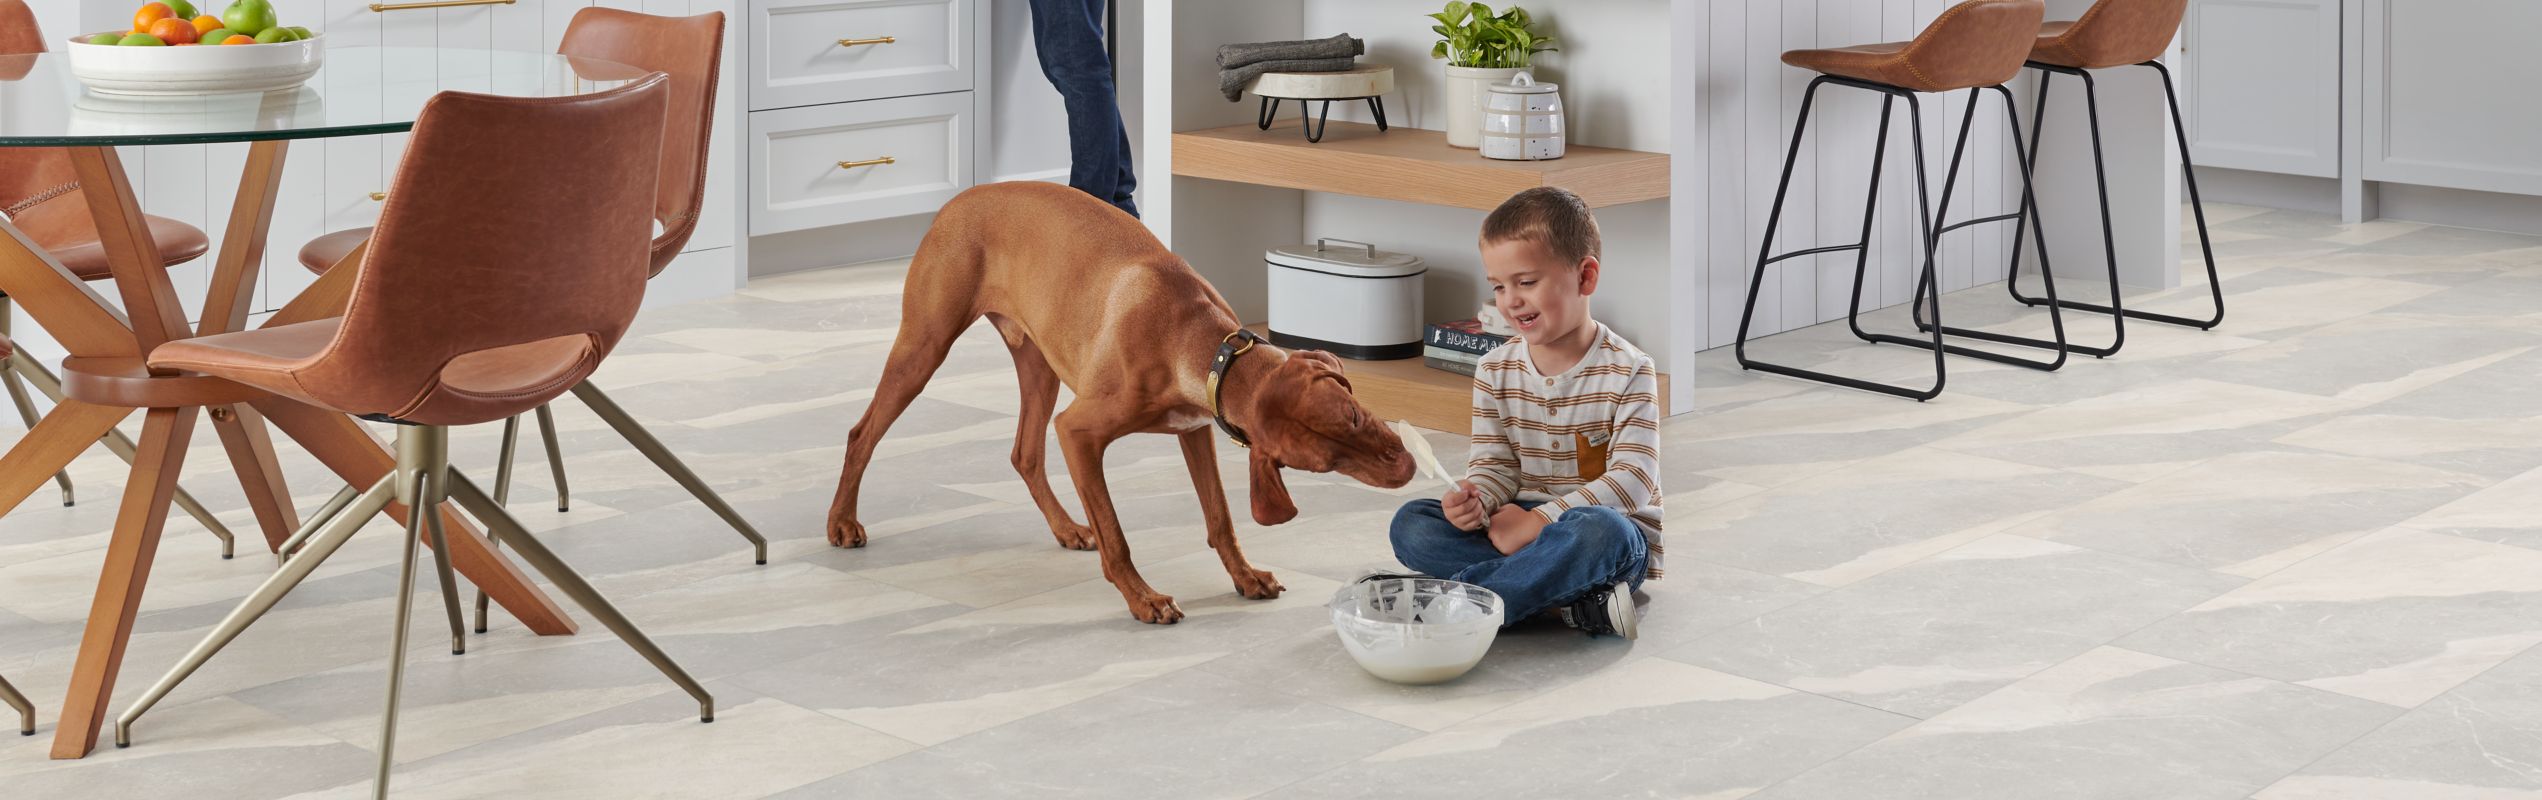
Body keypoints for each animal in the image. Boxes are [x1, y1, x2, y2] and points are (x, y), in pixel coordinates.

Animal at [838, 182, 1423, 627]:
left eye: (1352, 416)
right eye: (1325, 463)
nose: (1406, 467)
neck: (1197, 339)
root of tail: (959, 198)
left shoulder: (1194, 430)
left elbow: (1220, 518)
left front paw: (1245, 576)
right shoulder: (1079, 432)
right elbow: (1117, 538)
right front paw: (1144, 599)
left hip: (1039, 363)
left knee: (1024, 453)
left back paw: (1068, 528)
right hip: (924, 346)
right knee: (861, 433)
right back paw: (843, 523)